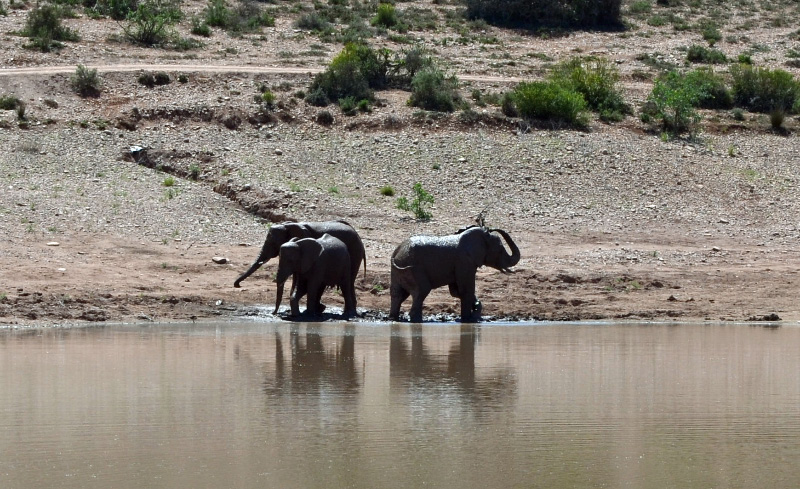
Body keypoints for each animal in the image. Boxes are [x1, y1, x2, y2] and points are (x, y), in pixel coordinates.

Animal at [389, 225, 520, 323]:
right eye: (500, 250)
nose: (492, 228)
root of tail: (397, 252)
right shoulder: (465, 262)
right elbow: (466, 290)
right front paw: (469, 319)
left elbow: (456, 291)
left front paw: (475, 309)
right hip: (414, 270)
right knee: (421, 291)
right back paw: (417, 320)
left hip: (398, 272)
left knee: (398, 295)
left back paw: (394, 318)